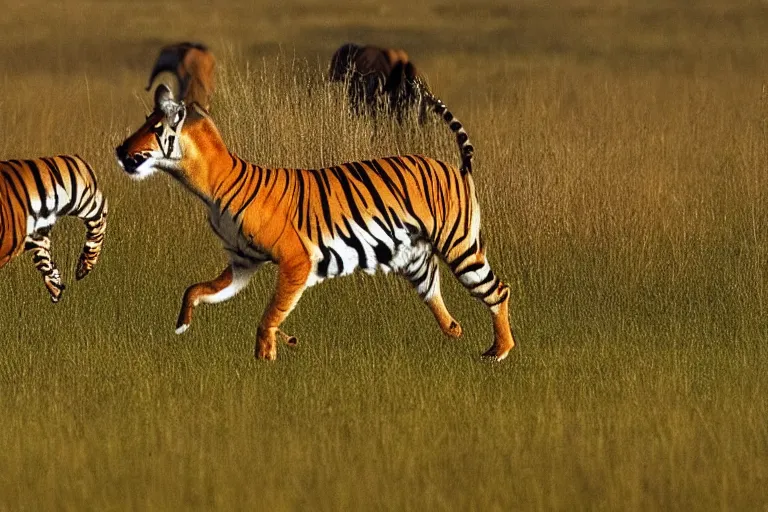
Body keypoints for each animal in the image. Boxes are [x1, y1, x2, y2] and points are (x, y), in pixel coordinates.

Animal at [115, 83, 516, 360]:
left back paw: (498, 352)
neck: (208, 184)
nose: (120, 149)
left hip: (459, 245)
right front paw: (182, 323)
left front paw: (266, 355)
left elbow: (271, 312)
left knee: (498, 290)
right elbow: (198, 289)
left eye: (155, 128)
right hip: (413, 256)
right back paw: (455, 330)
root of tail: (458, 167)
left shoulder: (295, 260)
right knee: (434, 288)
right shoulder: (242, 262)